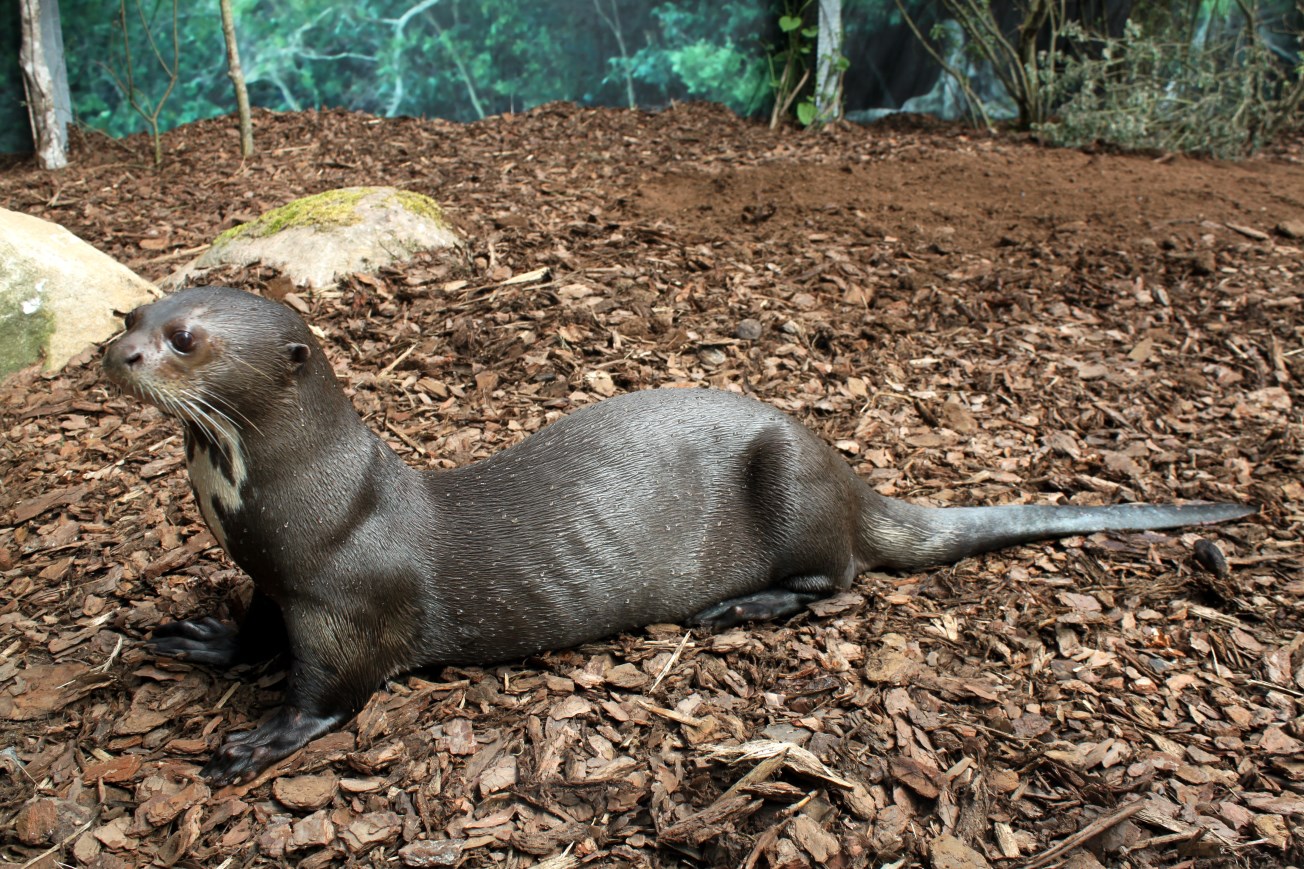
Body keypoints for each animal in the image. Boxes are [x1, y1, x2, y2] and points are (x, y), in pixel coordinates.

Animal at [103, 286, 1254, 784]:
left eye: (185, 337)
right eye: (131, 311)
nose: (117, 354)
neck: (303, 506)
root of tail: (849, 469)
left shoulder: (347, 603)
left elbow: (330, 695)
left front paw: (258, 737)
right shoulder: (276, 580)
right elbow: (255, 624)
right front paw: (205, 637)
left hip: (792, 484)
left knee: (842, 574)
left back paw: (743, 604)